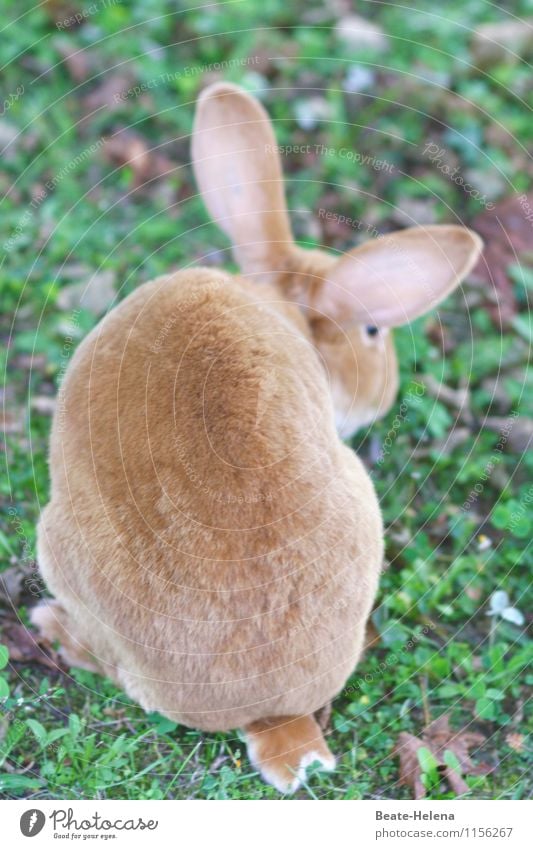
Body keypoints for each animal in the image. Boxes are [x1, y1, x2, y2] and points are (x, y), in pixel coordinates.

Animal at [31, 83, 482, 792]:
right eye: (372, 332)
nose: (382, 394)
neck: (282, 306)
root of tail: (275, 718)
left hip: (56, 545)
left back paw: (50, 625)